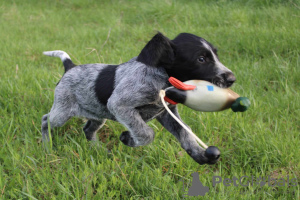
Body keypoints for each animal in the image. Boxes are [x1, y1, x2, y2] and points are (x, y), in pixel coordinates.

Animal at [41, 32, 236, 164]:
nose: (232, 79)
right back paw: (46, 145)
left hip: (97, 115)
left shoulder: (167, 114)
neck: (162, 80)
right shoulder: (120, 105)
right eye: (201, 59)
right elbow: (147, 133)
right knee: (46, 120)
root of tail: (70, 67)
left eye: (216, 56)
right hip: (63, 111)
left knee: (88, 130)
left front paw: (199, 154)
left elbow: (185, 133)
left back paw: (99, 150)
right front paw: (129, 139)